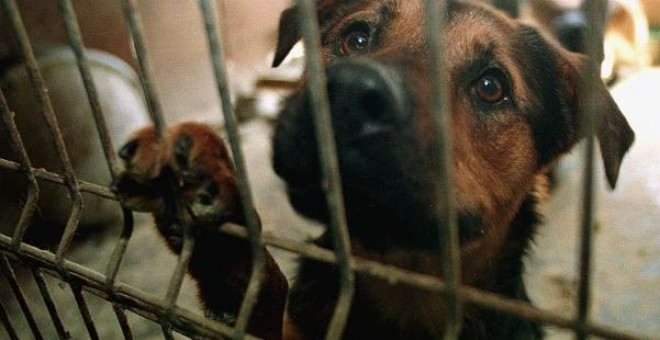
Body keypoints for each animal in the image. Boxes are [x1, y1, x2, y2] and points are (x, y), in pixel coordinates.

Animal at [112, 0, 636, 338]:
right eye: (356, 38)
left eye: (492, 87)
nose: (347, 94)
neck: (402, 284)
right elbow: (259, 285)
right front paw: (210, 196)